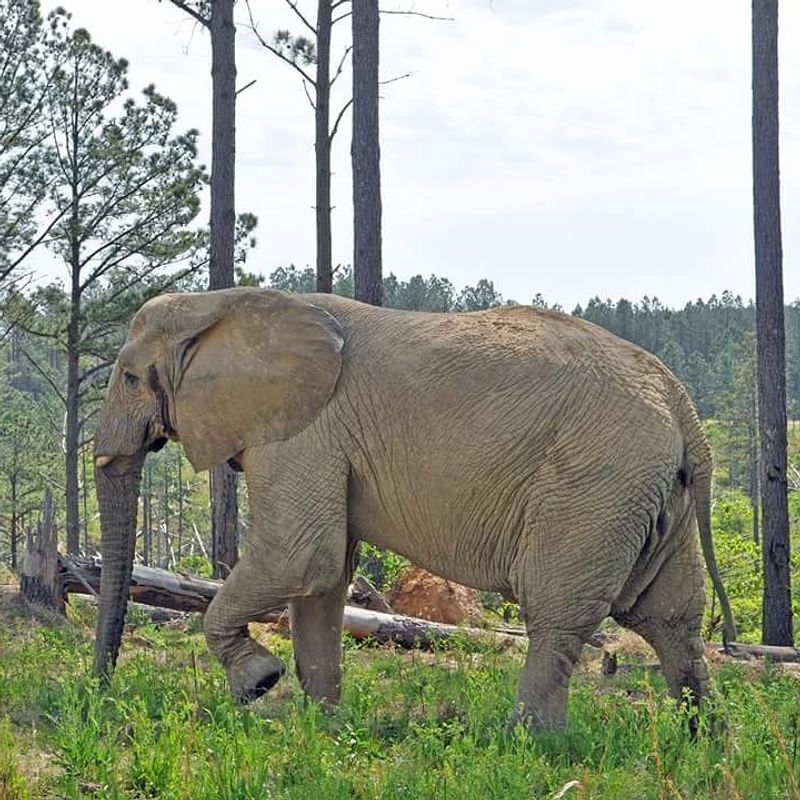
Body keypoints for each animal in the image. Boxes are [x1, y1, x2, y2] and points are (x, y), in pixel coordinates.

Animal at [92, 287, 736, 730]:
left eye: (128, 377)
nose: (99, 694)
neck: (218, 303)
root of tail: (680, 404)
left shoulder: (304, 432)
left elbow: (299, 557)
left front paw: (258, 684)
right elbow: (324, 578)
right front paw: (322, 728)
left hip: (594, 483)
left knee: (560, 612)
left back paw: (529, 744)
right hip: (650, 492)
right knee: (670, 617)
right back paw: (704, 742)